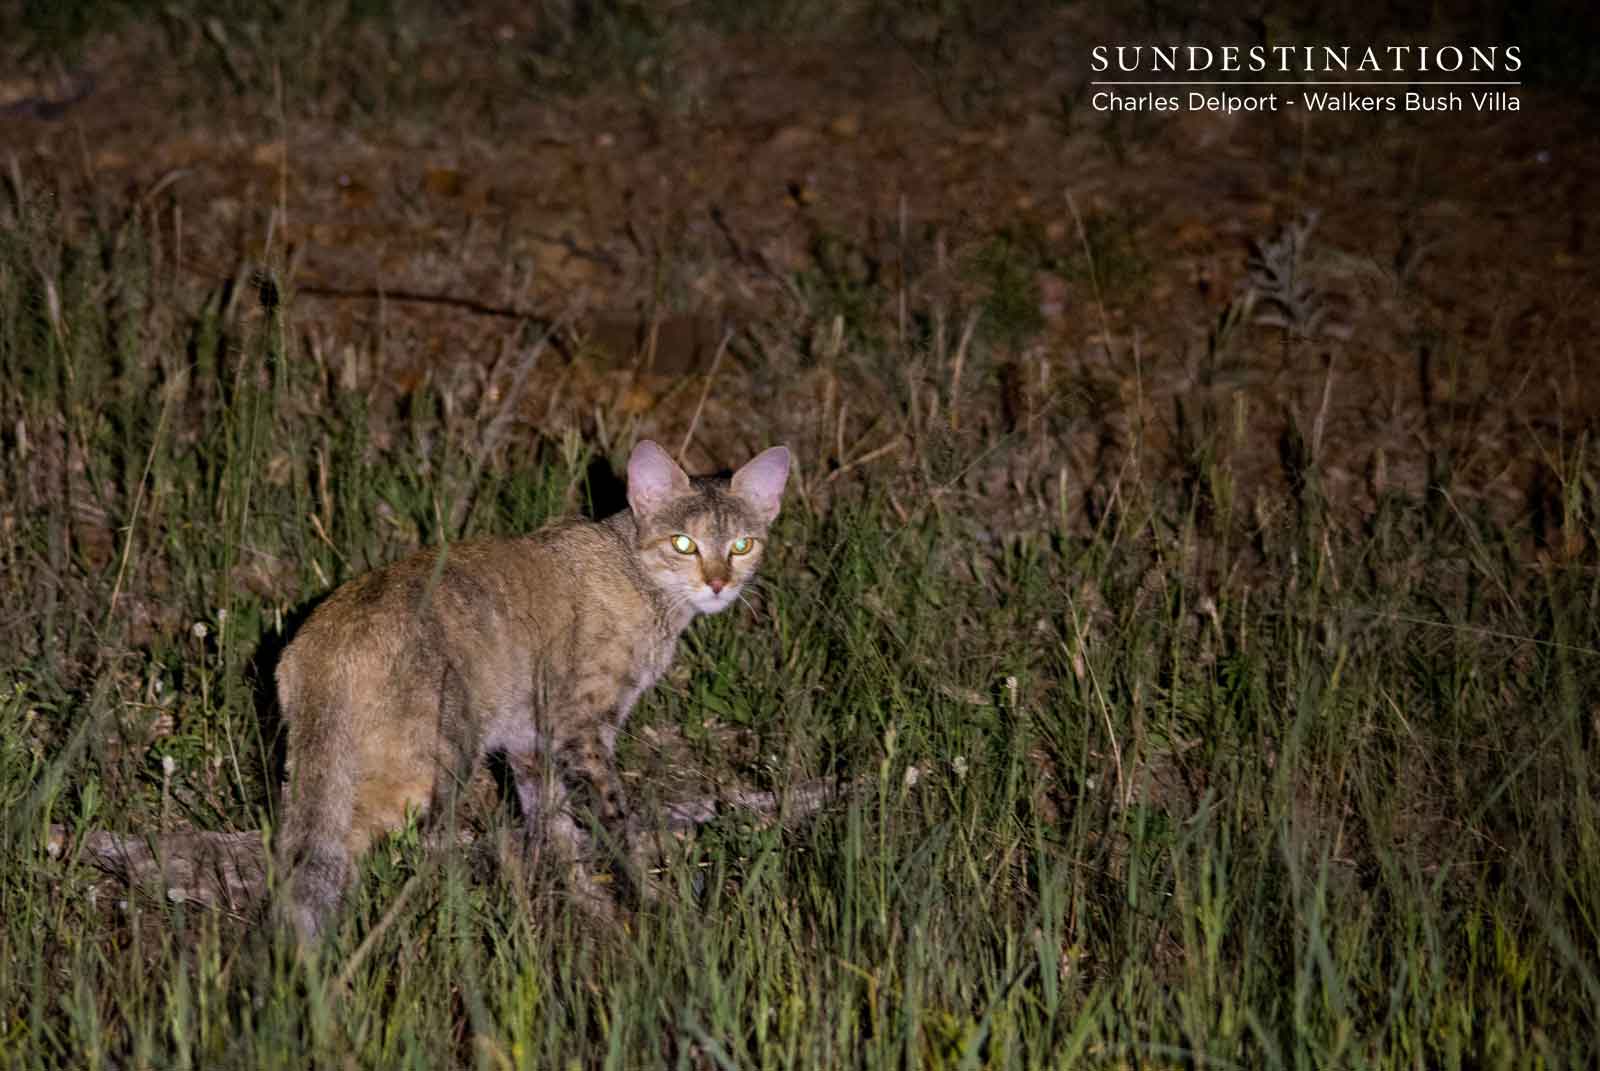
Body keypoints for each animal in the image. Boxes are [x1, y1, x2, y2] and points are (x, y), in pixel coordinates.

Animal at [272, 438, 790, 941]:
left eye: (742, 545)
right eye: (684, 543)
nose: (719, 583)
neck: (638, 575)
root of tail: (326, 639)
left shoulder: (531, 742)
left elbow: (556, 828)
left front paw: (588, 906)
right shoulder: (582, 730)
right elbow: (615, 821)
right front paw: (650, 899)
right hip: (431, 766)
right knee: (351, 848)